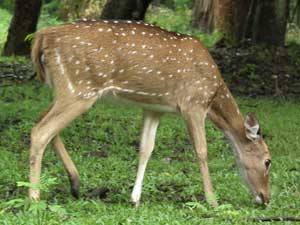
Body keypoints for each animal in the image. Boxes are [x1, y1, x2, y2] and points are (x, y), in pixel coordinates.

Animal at [30, 18, 272, 206]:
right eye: (268, 161)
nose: (265, 198)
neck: (213, 95)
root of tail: (43, 36)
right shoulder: (193, 104)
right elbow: (202, 151)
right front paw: (212, 200)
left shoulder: (154, 108)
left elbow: (146, 148)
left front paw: (135, 198)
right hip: (80, 88)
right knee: (41, 131)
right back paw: (34, 197)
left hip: (62, 89)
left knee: (42, 122)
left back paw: (75, 183)